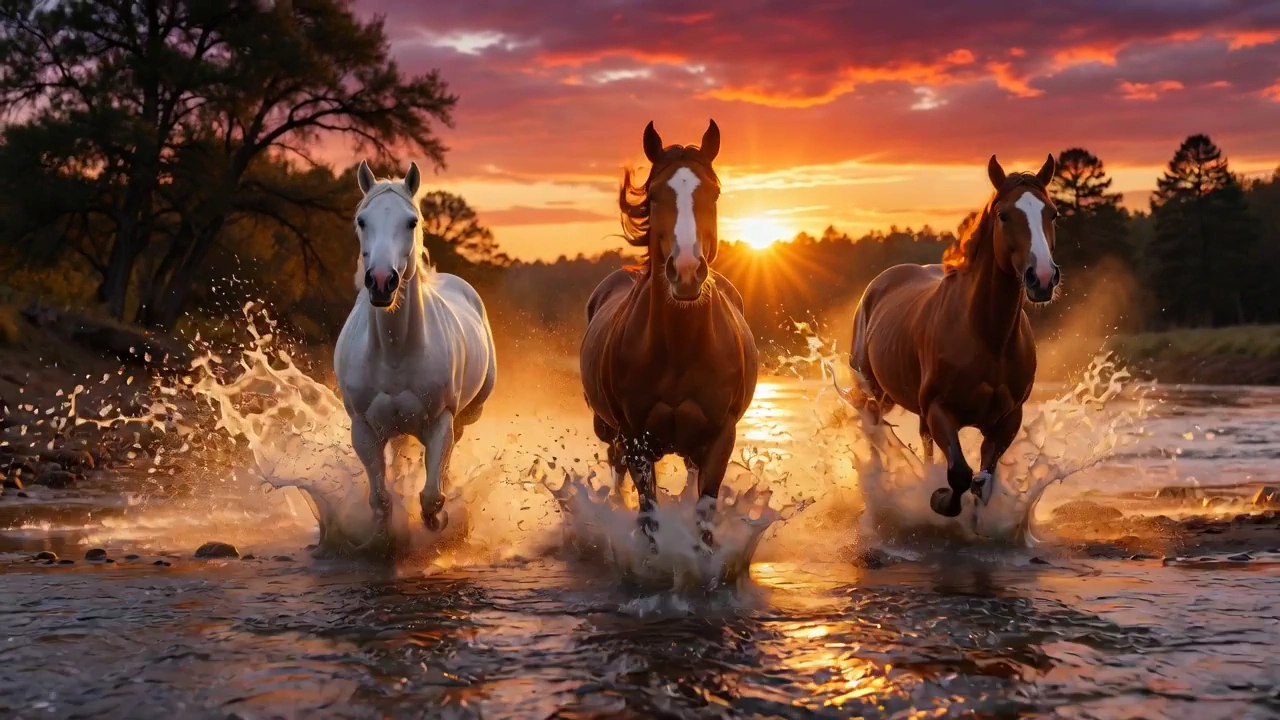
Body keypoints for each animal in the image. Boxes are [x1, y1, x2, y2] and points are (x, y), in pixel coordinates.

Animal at [334, 160, 496, 544]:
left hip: (465, 416)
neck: (395, 354)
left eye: (411, 221)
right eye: (362, 220)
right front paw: (382, 535)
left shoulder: (440, 423)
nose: (381, 281)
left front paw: (437, 521)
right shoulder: (364, 429)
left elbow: (432, 494)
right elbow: (380, 497)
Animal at [579, 119, 759, 554]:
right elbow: (649, 515)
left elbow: (704, 515)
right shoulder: (635, 439)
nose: (688, 271)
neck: (680, 349)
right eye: (656, 195)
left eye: (712, 193)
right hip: (608, 429)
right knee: (615, 468)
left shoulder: (720, 437)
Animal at [848, 154, 1061, 519]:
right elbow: (960, 473)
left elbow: (983, 481)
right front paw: (940, 500)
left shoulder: (1007, 419)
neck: (987, 336)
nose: (1043, 278)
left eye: (1052, 213)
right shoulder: (939, 409)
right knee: (875, 437)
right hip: (874, 395)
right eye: (1004, 215)